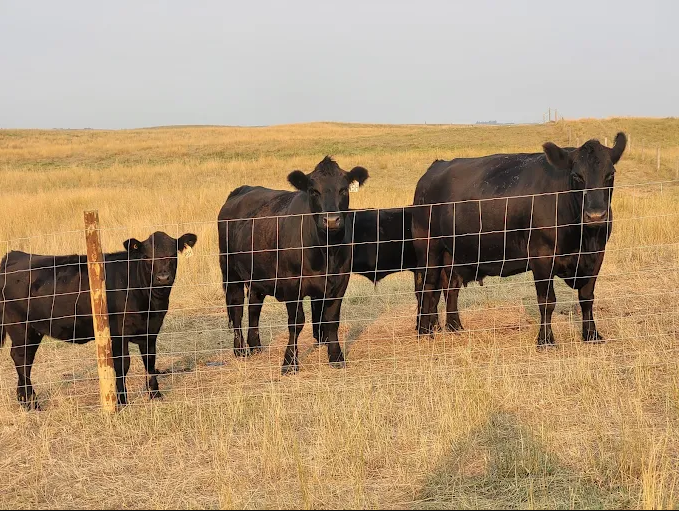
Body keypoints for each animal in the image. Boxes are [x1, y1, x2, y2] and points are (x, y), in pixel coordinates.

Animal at [0, 231, 198, 409]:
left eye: (172, 254)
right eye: (146, 257)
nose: (162, 277)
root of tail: (14, 255)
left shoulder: (151, 330)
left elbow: (150, 361)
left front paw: (155, 394)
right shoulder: (118, 333)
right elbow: (122, 365)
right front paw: (122, 400)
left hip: (33, 330)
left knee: (25, 359)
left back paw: (24, 400)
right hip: (20, 327)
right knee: (21, 358)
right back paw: (32, 402)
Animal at [218, 156, 369, 373]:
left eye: (343, 190)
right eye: (314, 191)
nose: (331, 220)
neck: (326, 250)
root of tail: (240, 191)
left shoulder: (340, 281)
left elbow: (331, 319)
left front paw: (336, 357)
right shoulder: (291, 283)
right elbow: (296, 323)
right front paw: (289, 362)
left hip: (257, 273)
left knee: (254, 306)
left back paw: (255, 345)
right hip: (230, 271)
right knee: (236, 306)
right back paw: (240, 350)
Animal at [412, 133, 626, 346]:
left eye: (610, 174)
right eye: (576, 176)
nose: (596, 215)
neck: (583, 240)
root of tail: (434, 168)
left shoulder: (597, 255)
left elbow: (587, 297)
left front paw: (592, 335)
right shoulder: (541, 256)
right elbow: (547, 301)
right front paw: (546, 340)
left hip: (453, 252)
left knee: (450, 286)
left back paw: (454, 327)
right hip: (429, 248)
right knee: (426, 287)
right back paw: (425, 332)